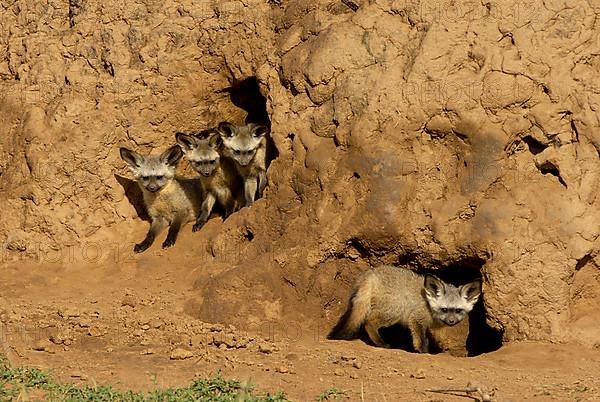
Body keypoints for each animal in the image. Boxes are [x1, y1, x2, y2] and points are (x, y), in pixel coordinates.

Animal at [328, 266, 482, 354]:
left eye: (458, 310)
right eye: (444, 309)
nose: (451, 321)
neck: (428, 304)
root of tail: (371, 274)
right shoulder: (416, 319)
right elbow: (420, 341)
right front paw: (423, 352)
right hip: (395, 310)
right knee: (369, 322)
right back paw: (381, 343)